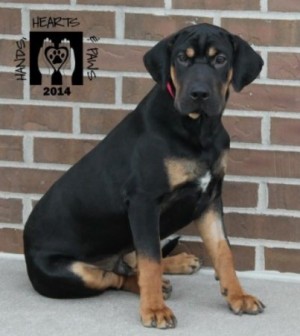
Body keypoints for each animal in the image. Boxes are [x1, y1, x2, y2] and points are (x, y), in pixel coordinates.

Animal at [25, 23, 264, 328]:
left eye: (220, 59)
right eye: (181, 58)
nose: (198, 94)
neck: (198, 129)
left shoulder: (210, 198)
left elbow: (223, 250)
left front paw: (238, 296)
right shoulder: (143, 202)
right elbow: (151, 260)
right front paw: (154, 309)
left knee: (129, 262)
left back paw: (177, 264)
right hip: (68, 272)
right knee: (114, 277)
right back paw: (155, 286)